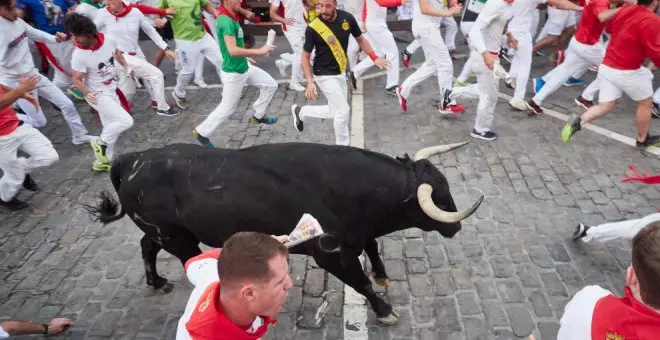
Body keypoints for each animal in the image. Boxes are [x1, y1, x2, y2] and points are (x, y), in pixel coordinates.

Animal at [85, 141, 482, 324]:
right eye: (439, 196)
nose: (457, 225)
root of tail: (132, 160)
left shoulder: (356, 237)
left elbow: (373, 248)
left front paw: (383, 276)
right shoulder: (332, 254)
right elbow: (361, 282)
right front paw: (384, 310)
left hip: (164, 231)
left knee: (146, 246)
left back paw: (156, 282)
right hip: (177, 238)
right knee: (180, 258)